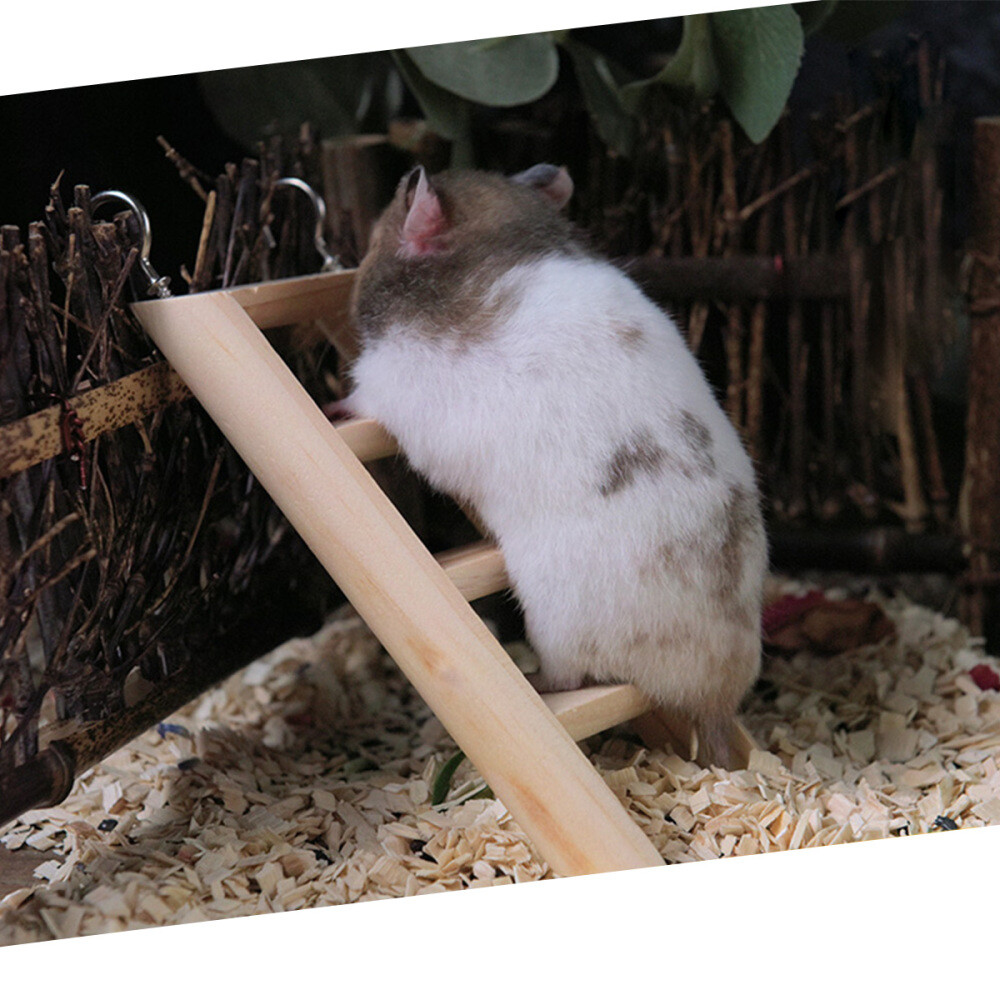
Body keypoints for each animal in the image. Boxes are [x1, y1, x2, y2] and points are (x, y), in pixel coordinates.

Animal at [342, 163, 767, 767]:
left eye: (382, 226)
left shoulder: (386, 385)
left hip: (557, 622)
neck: (500, 236)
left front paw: (335, 406)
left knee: (568, 678)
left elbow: (359, 399)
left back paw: (537, 680)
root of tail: (713, 698)